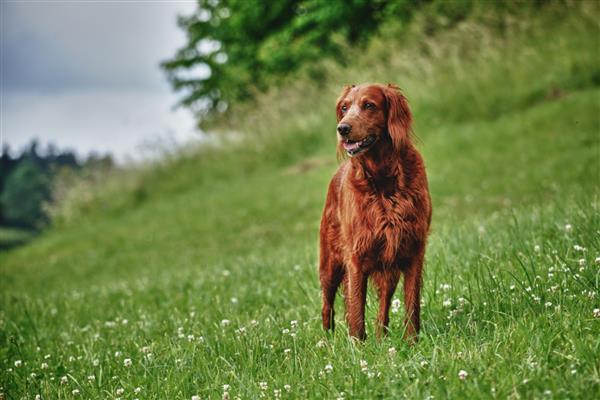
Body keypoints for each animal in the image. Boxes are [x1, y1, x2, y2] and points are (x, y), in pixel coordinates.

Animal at [318, 83, 432, 340]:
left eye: (369, 105)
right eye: (344, 107)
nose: (342, 128)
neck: (383, 178)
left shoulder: (413, 249)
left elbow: (412, 304)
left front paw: (412, 342)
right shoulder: (356, 257)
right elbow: (356, 310)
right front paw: (357, 345)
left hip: (389, 268)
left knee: (383, 308)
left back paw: (381, 338)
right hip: (330, 263)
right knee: (327, 305)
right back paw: (327, 341)